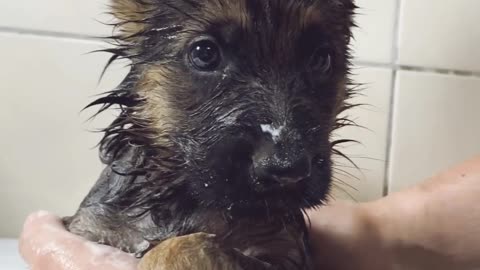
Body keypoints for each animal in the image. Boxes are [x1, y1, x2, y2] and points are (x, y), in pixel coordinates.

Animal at [64, 0, 356, 268]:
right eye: (205, 53)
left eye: (321, 59)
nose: (287, 170)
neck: (181, 198)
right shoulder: (91, 228)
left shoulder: (284, 251)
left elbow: (188, 244)